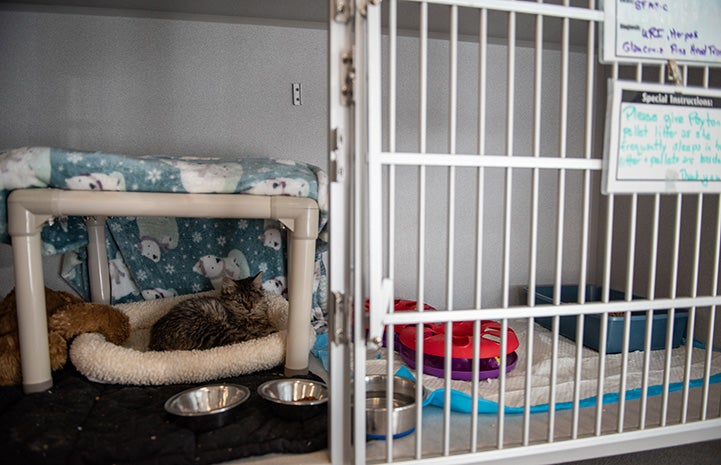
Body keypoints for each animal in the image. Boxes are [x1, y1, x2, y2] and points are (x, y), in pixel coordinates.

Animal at [148, 270, 278, 350]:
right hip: (213, 328)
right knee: (244, 339)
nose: (249, 307)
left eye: (253, 299)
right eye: (239, 301)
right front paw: (268, 329)